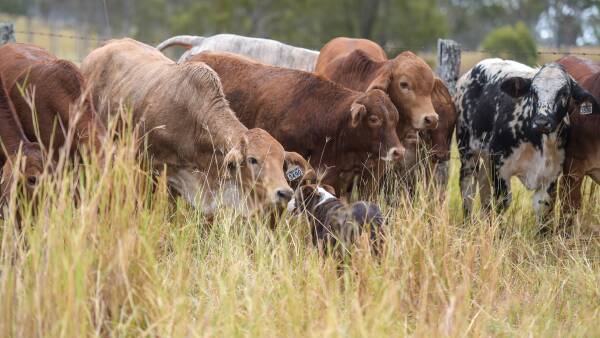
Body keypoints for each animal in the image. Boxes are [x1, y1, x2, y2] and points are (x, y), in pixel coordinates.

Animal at [458, 59, 596, 226]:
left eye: (564, 93)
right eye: (533, 92)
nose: (542, 122)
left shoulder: (550, 176)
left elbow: (543, 209)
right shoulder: (500, 168)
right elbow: (502, 202)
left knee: (483, 187)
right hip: (467, 150)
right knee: (467, 187)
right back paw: (466, 223)